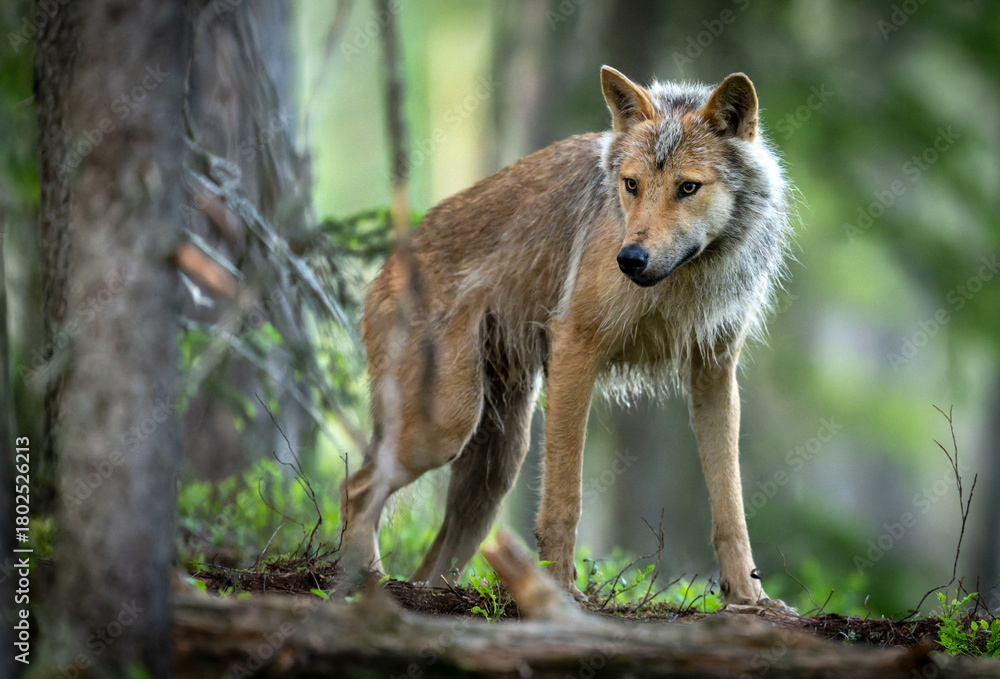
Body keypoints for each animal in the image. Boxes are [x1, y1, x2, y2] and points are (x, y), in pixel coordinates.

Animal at [340, 65, 791, 607]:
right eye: (632, 184)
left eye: (687, 187)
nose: (630, 259)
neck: (683, 285)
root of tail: (383, 272)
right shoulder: (575, 348)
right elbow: (564, 497)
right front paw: (560, 591)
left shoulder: (715, 373)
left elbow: (731, 506)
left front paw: (749, 599)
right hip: (445, 429)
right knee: (354, 490)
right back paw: (369, 583)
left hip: (495, 468)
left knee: (437, 552)